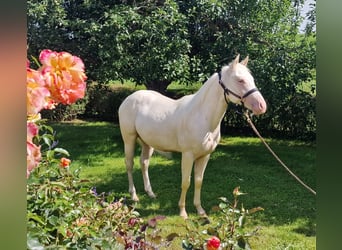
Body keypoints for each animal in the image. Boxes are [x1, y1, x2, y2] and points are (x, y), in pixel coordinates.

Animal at [119, 53, 266, 218]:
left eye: (252, 79)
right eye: (240, 80)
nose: (261, 106)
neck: (202, 116)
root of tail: (128, 99)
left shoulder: (205, 155)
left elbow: (198, 181)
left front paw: (200, 210)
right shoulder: (188, 155)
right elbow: (186, 182)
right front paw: (183, 212)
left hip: (147, 142)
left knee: (144, 163)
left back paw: (150, 193)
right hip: (129, 139)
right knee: (129, 164)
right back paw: (134, 195)